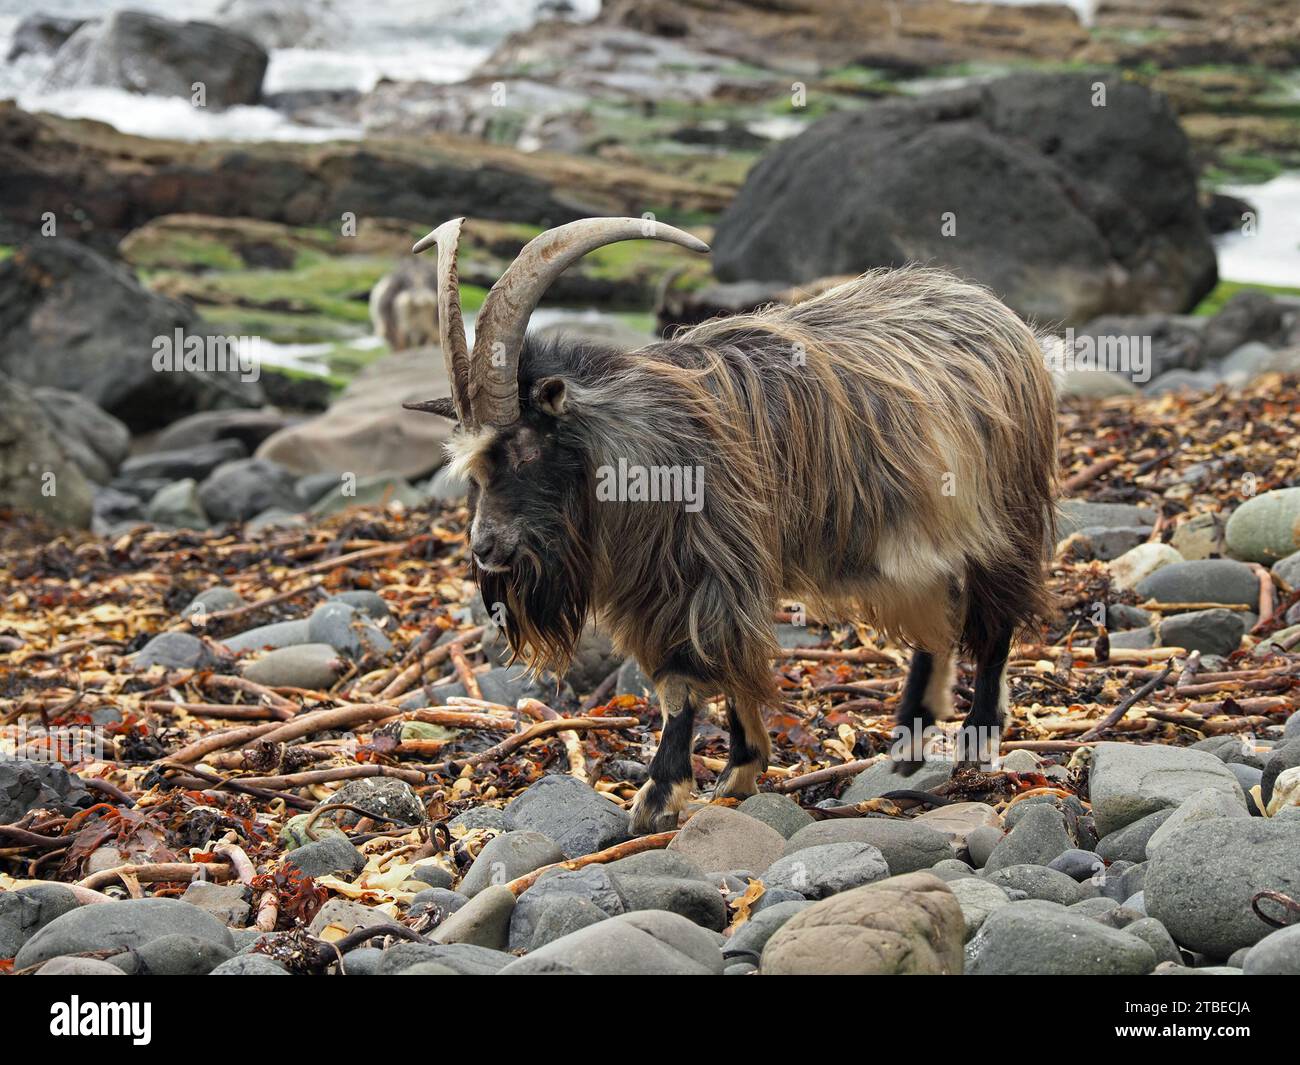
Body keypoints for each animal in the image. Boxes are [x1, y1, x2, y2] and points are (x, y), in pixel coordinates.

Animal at [404, 217, 1057, 834]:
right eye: (472, 468)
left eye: (524, 449)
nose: (486, 550)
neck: (636, 446)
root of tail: (997, 312)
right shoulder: (671, 584)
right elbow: (713, 672)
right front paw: (740, 768)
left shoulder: (708, 570)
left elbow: (687, 680)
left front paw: (660, 796)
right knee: (937, 617)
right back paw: (911, 737)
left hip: (1007, 518)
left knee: (996, 623)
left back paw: (978, 741)